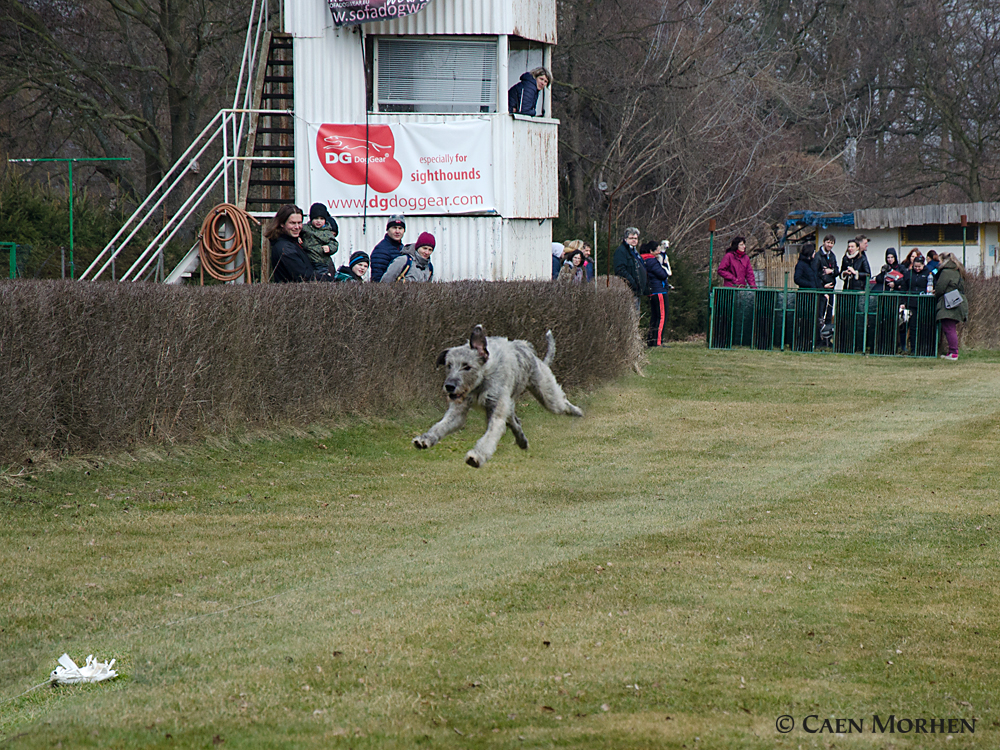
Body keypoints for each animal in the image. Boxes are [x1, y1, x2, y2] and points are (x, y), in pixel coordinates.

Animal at [414, 324, 584, 468]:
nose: (449, 386)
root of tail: (535, 357)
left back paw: (578, 412)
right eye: (449, 365)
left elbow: (490, 435)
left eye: (467, 366)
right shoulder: (458, 411)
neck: (480, 382)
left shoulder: (496, 411)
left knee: (561, 404)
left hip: (547, 396)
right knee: (516, 422)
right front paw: (425, 439)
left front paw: (477, 455)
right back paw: (522, 441)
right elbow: (441, 426)